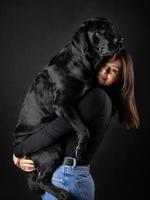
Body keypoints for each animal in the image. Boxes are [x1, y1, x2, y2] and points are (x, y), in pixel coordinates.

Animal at [12, 18, 123, 199]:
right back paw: (62, 194)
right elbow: (83, 128)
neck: (81, 61)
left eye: (111, 27)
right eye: (100, 30)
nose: (120, 39)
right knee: (41, 179)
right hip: (52, 149)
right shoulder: (62, 104)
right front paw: (80, 149)